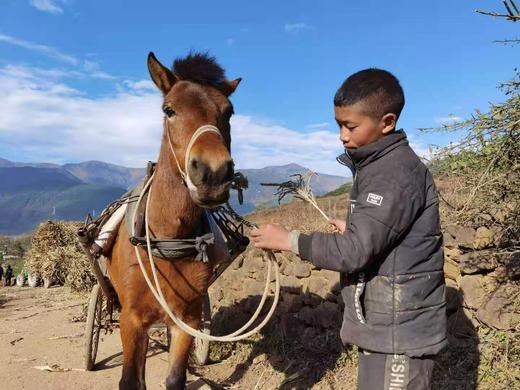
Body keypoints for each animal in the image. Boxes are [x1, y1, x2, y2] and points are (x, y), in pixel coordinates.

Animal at [109, 52, 242, 390]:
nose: (212, 173)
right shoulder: (131, 320)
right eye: (169, 110)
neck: (169, 236)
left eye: (229, 111)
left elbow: (174, 378)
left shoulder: (186, 319)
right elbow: (131, 381)